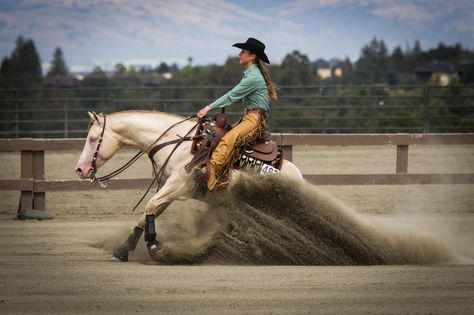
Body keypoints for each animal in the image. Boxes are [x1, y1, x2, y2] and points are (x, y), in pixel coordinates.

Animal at [74, 110, 304, 262]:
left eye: (93, 139)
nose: (80, 169)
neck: (174, 142)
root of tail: (299, 177)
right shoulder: (166, 189)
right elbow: (148, 212)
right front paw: (125, 248)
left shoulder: (177, 186)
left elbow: (150, 206)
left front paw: (154, 244)